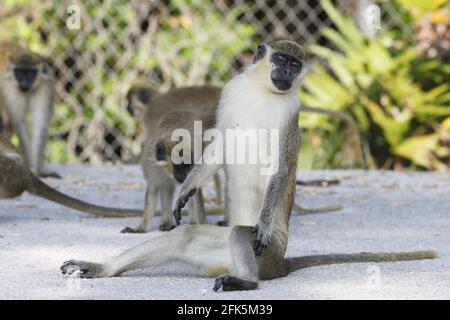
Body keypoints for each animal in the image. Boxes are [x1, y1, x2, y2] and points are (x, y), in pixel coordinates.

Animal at [0, 40, 59, 178]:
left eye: (30, 73)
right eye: (20, 72)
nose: (24, 82)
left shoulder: (45, 86)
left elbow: (40, 124)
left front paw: (39, 171)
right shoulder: (9, 89)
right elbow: (20, 123)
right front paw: (28, 166)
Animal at [60, 41, 436, 292]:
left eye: (295, 64)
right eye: (281, 60)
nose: (285, 72)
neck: (262, 91)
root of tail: (280, 265)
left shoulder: (291, 113)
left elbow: (281, 166)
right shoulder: (230, 94)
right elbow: (219, 147)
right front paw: (185, 192)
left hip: (266, 252)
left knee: (243, 234)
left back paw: (247, 282)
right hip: (216, 249)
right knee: (185, 235)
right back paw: (102, 268)